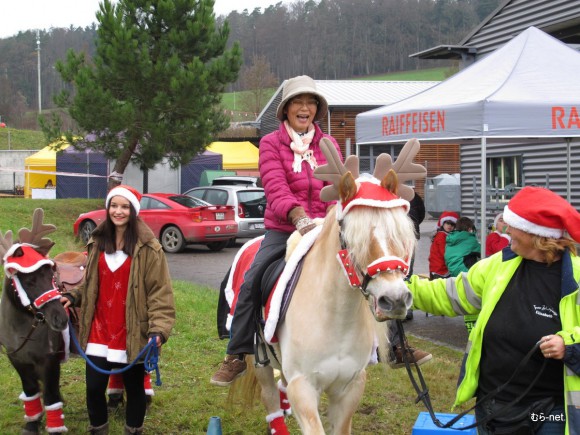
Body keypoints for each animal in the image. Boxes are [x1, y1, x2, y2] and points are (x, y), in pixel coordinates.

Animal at [0, 209, 69, 434]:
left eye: (51, 275)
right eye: (28, 281)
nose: (61, 318)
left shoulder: (49, 361)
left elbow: (51, 397)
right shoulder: (17, 359)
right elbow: (31, 391)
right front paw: (32, 423)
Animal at [233, 139, 428, 432]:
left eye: (402, 237)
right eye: (352, 237)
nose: (394, 300)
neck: (336, 319)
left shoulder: (350, 388)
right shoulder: (303, 387)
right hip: (259, 360)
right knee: (270, 398)